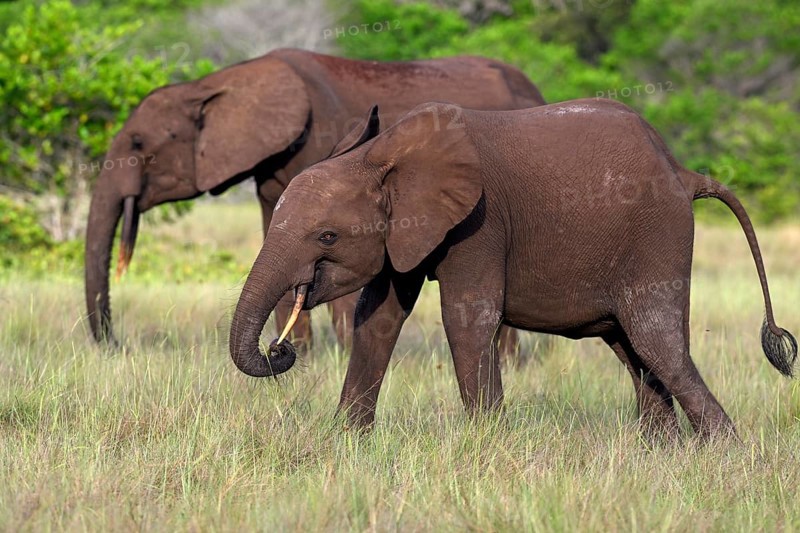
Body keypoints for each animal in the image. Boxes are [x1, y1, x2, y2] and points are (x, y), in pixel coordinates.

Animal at [84, 48, 545, 353]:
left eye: (138, 142)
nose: (114, 344)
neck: (218, 84)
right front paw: (304, 357)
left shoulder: (323, 142)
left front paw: (336, 353)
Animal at [229, 99, 797, 440]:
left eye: (326, 236)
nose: (280, 350)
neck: (383, 153)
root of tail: (683, 171)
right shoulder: (405, 232)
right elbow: (379, 318)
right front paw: (347, 444)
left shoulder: (477, 224)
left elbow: (467, 318)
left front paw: (485, 447)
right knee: (635, 351)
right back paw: (663, 455)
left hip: (658, 235)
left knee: (658, 343)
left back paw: (727, 457)